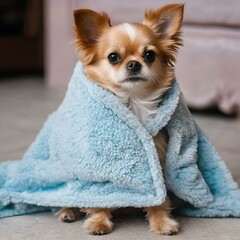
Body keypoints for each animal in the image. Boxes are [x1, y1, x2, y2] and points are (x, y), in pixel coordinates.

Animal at [57, 3, 184, 235]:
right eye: (113, 57)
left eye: (149, 55)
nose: (134, 64)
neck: (132, 103)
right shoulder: (97, 169)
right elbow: (98, 197)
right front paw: (98, 222)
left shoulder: (157, 161)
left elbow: (160, 198)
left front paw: (162, 222)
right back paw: (67, 211)